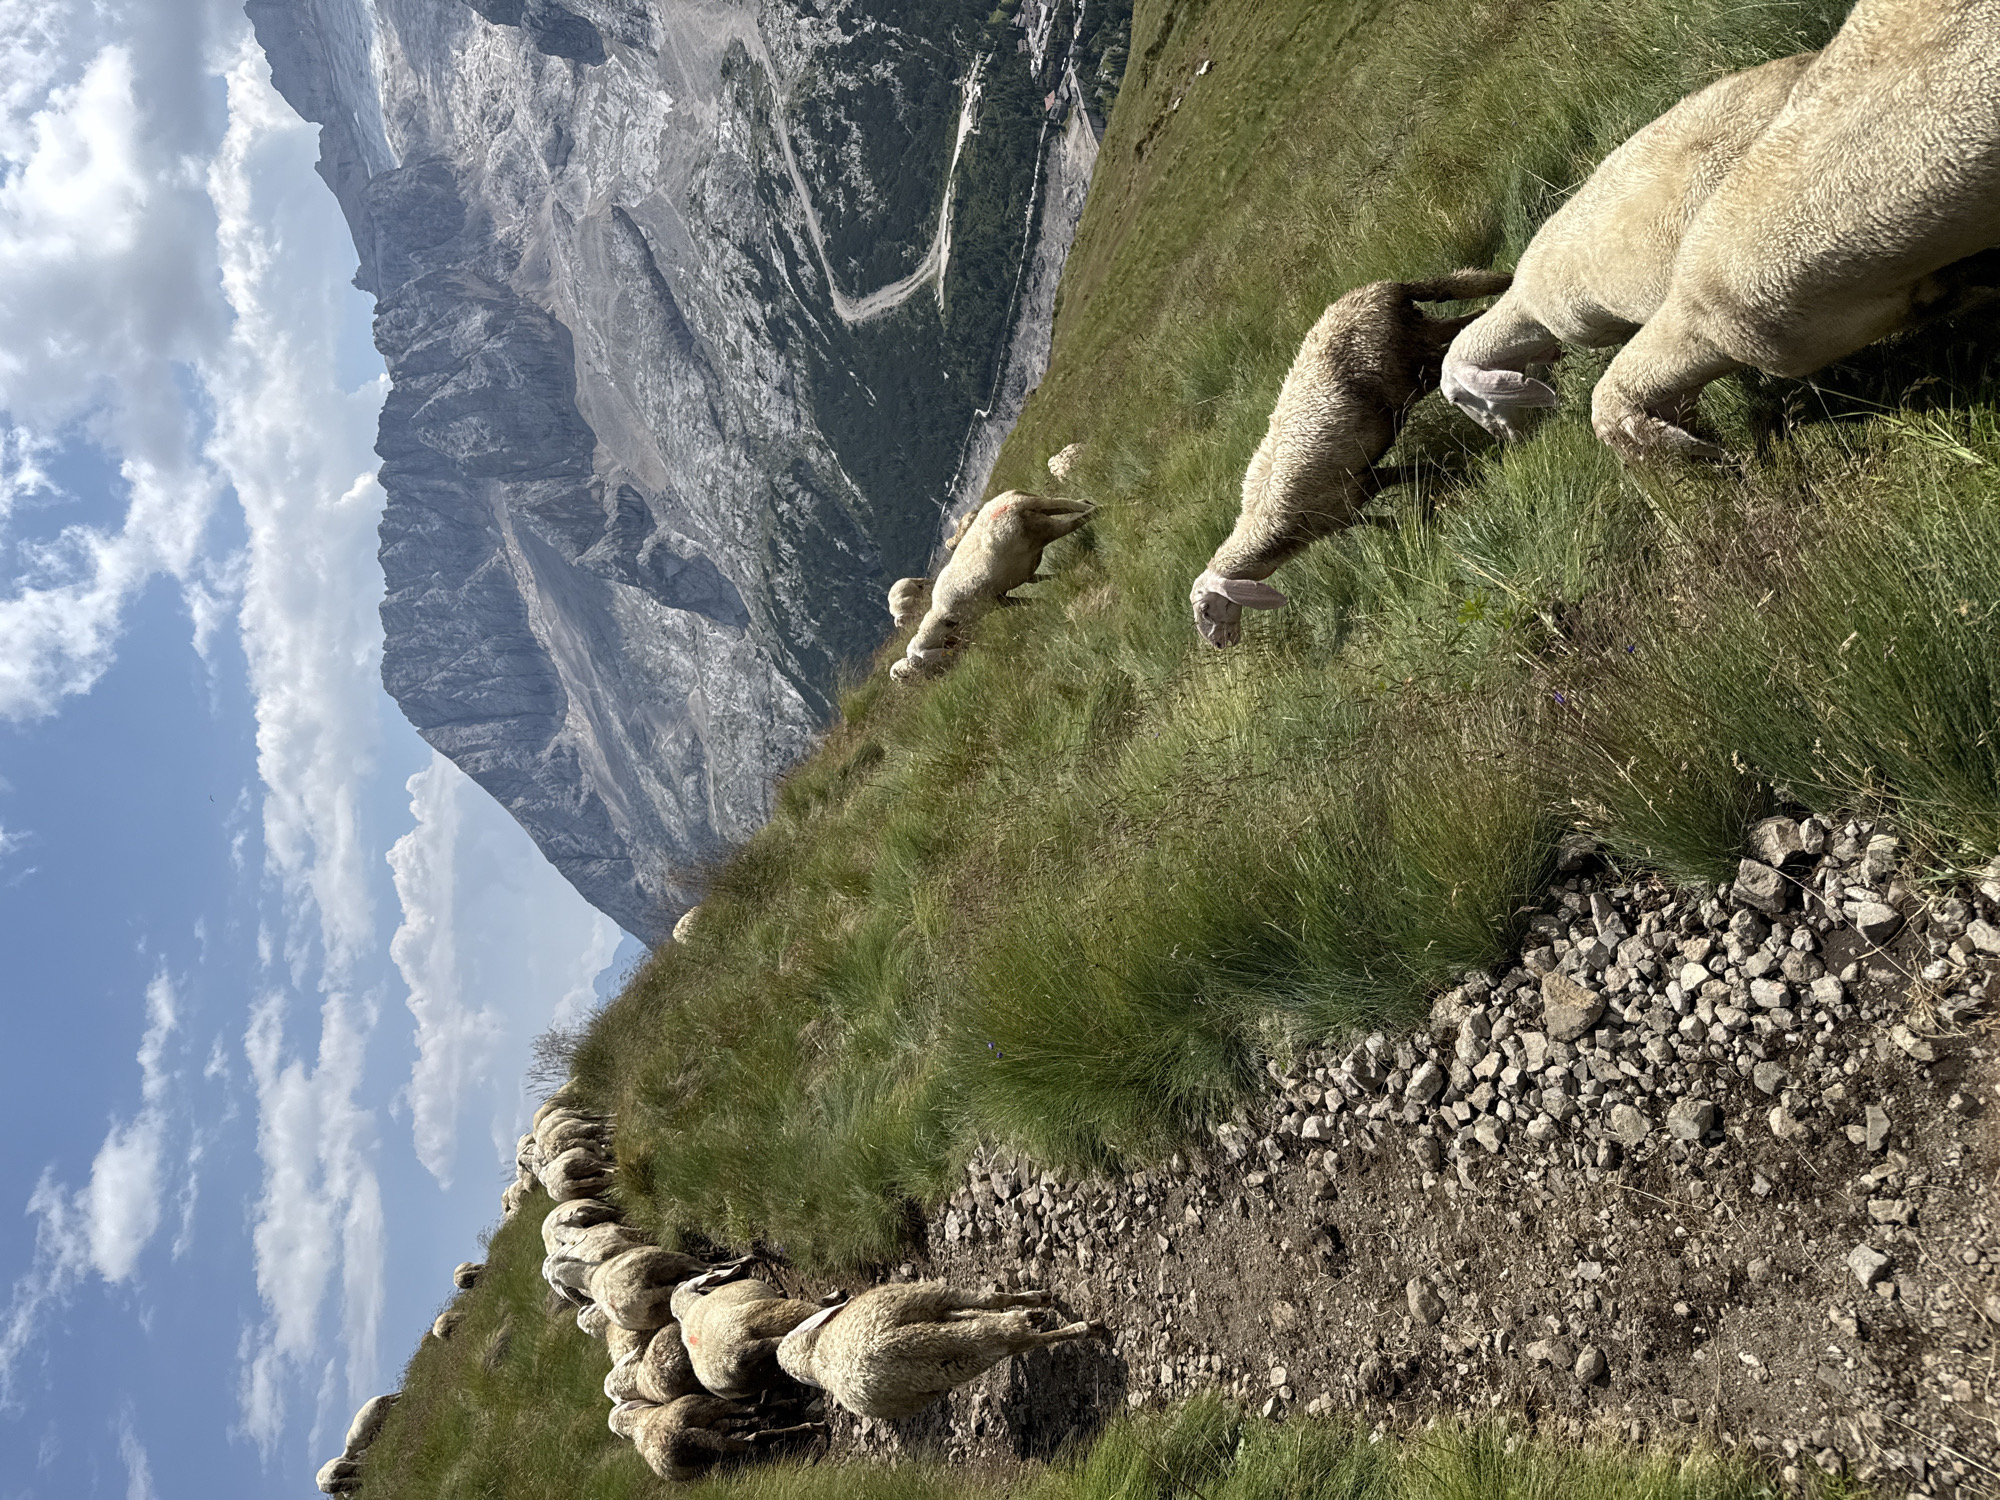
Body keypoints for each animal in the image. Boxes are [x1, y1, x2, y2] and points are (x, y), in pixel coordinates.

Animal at [609, 1396, 824, 1482]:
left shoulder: (717, 1426)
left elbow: (742, 1424)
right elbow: (753, 1413)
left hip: (709, 1452)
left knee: (749, 1446)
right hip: (709, 1414)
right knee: (752, 1429)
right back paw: (811, 1427)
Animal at [776, 1282, 1106, 1419]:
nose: (842, 1296)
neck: (813, 1360)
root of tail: (880, 1345)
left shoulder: (940, 1320)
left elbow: (969, 1315)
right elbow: (984, 1308)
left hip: (946, 1359)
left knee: (993, 1324)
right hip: (934, 1307)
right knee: (1000, 1319)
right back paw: (1079, 1324)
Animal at [891, 493, 1093, 680]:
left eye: (918, 664)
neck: (943, 617)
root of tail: (1015, 504)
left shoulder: (992, 604)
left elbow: (1025, 601)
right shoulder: (1004, 592)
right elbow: (1033, 588)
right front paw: (1056, 584)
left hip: (1044, 530)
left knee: (1082, 518)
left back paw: (1098, 514)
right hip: (1044, 508)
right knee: (1078, 504)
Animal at [1191, 271, 1511, 645]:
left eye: (1207, 609)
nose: (1219, 644)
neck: (1263, 525)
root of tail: (1384, 290)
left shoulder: (1355, 485)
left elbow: (1412, 472)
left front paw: (1457, 477)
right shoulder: (1341, 511)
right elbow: (1380, 520)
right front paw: (1411, 525)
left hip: (1404, 364)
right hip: (1418, 333)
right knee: (1466, 308)